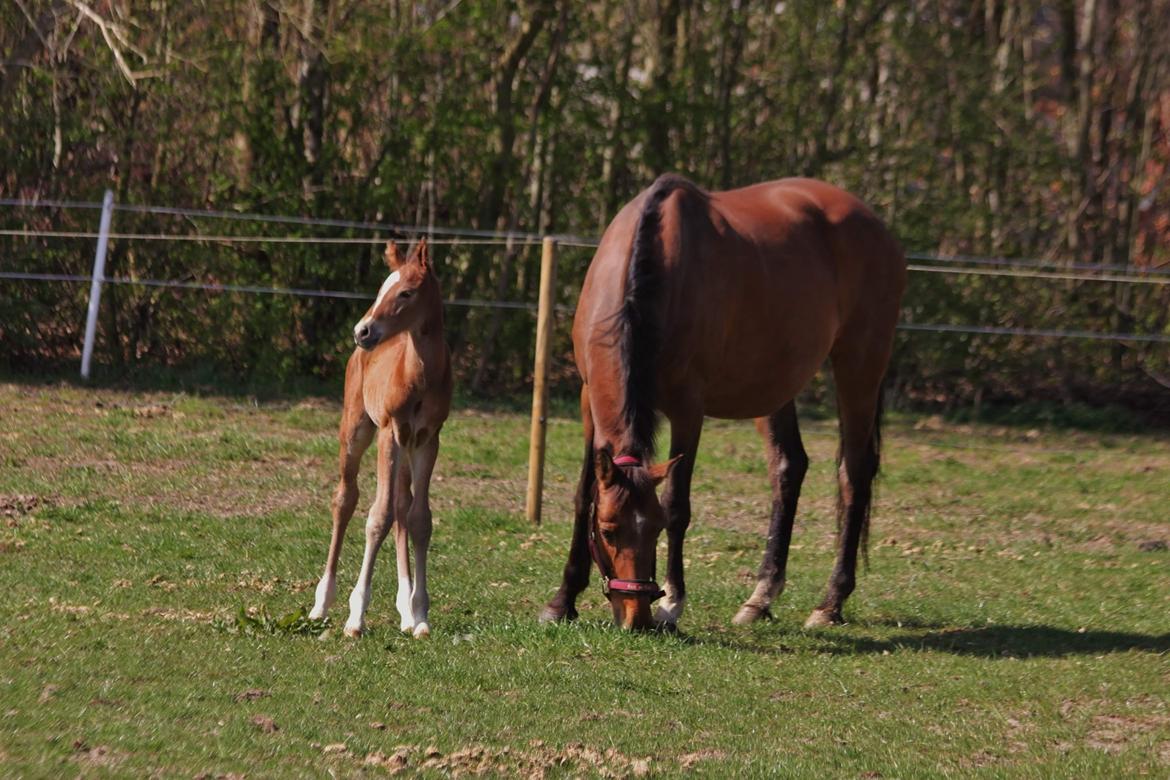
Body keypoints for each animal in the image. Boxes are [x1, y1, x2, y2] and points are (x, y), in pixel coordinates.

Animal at [308, 240, 449, 636]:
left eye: (406, 292)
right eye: (381, 287)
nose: (363, 331)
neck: (420, 376)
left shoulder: (428, 439)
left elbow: (419, 519)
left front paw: (421, 615)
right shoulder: (388, 432)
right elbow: (378, 517)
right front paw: (355, 616)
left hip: (406, 446)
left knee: (403, 504)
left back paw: (406, 611)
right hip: (357, 430)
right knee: (345, 499)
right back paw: (321, 604)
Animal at [542, 174, 907, 631]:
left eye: (655, 528)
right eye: (607, 531)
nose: (636, 618)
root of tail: (876, 225)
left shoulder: (688, 408)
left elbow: (678, 504)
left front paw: (672, 603)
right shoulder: (588, 399)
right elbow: (583, 495)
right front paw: (563, 600)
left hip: (860, 365)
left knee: (854, 473)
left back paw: (830, 603)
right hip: (776, 383)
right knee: (789, 467)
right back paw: (760, 598)